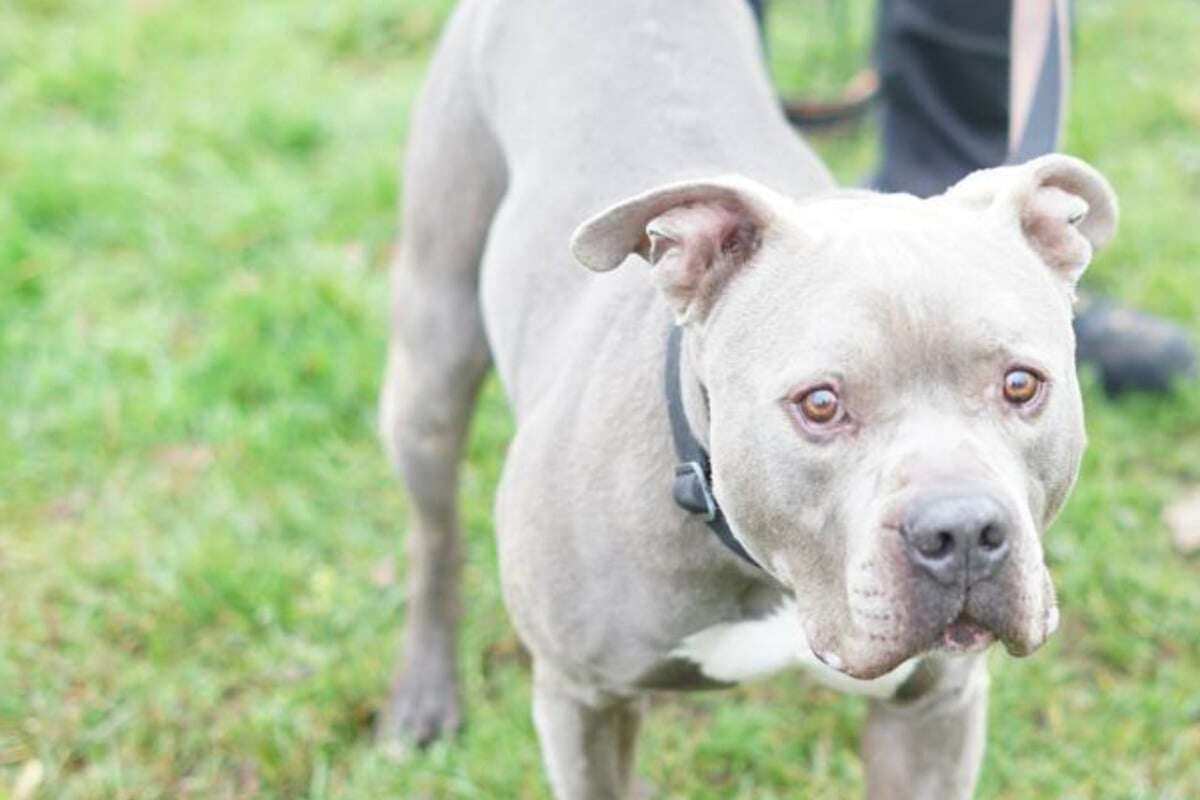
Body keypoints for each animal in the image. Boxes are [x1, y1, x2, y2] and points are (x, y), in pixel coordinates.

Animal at [376, 3, 1113, 796]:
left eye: (1021, 384)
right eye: (819, 404)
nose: (965, 533)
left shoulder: (933, 709)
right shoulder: (582, 699)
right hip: (433, 350)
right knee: (434, 536)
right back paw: (425, 694)